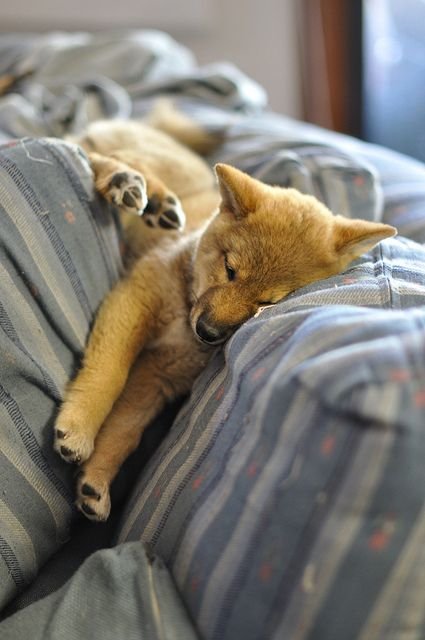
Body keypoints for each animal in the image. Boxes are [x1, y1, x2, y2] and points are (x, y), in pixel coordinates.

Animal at [52, 106, 394, 520]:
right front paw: (79, 425)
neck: (185, 306)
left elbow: (124, 430)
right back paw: (138, 190)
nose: (209, 331)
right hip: (132, 154)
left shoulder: (157, 376)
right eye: (230, 270)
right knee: (92, 153)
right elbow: (109, 374)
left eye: (267, 302)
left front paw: (96, 479)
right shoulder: (134, 301)